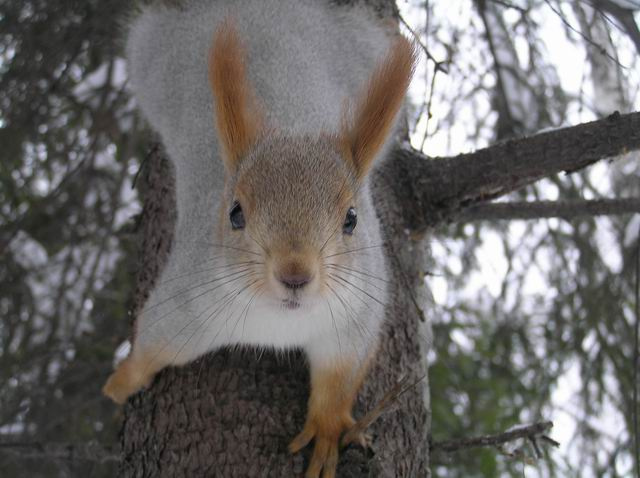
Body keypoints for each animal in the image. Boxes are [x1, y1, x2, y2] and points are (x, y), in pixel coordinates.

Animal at [103, 0, 417, 476]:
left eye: (351, 218)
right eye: (235, 213)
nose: (295, 274)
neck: (279, 324)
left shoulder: (356, 318)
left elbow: (338, 379)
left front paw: (326, 430)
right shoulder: (184, 308)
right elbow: (152, 346)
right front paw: (122, 382)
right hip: (150, 55)